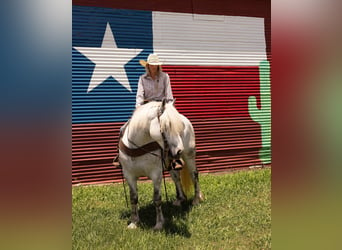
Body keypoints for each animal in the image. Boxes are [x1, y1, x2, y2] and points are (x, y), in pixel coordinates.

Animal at [117, 99, 203, 230]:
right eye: (166, 126)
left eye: (179, 127)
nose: (179, 151)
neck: (137, 147)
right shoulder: (129, 175)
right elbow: (133, 198)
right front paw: (134, 222)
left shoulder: (156, 175)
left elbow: (157, 199)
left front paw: (159, 224)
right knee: (176, 178)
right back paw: (180, 199)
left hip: (189, 156)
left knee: (194, 175)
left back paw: (196, 199)